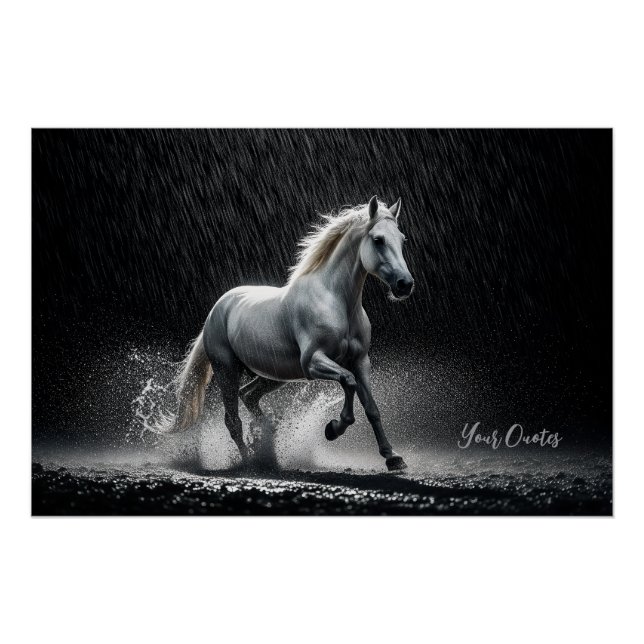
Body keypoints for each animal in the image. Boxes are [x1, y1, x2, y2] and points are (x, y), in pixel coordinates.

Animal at [160, 195, 415, 471]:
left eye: (402, 239)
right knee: (233, 420)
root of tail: (216, 309)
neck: (336, 301)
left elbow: (372, 408)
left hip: (273, 375)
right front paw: (333, 428)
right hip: (227, 370)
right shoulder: (313, 362)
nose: (405, 284)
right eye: (378, 240)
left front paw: (393, 457)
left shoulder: (360, 362)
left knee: (248, 396)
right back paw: (250, 462)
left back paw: (266, 434)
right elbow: (348, 381)